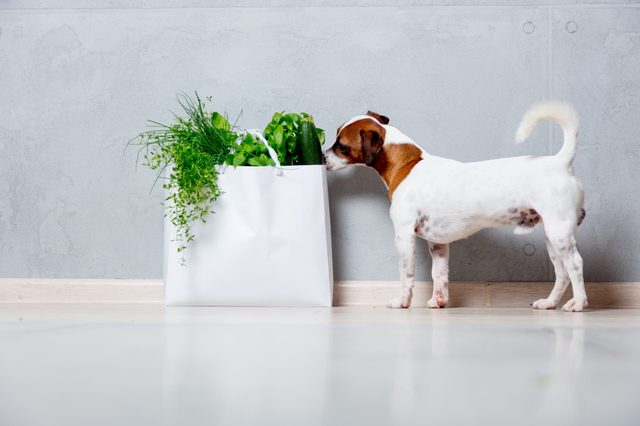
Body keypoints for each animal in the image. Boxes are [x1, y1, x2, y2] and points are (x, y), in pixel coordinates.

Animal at [328, 101, 588, 312]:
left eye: (341, 146)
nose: (323, 157)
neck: (407, 164)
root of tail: (559, 162)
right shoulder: (438, 244)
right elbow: (439, 275)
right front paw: (439, 301)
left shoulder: (403, 236)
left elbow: (406, 274)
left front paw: (402, 301)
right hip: (552, 238)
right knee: (562, 272)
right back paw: (549, 303)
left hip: (559, 233)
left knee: (575, 265)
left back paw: (578, 303)